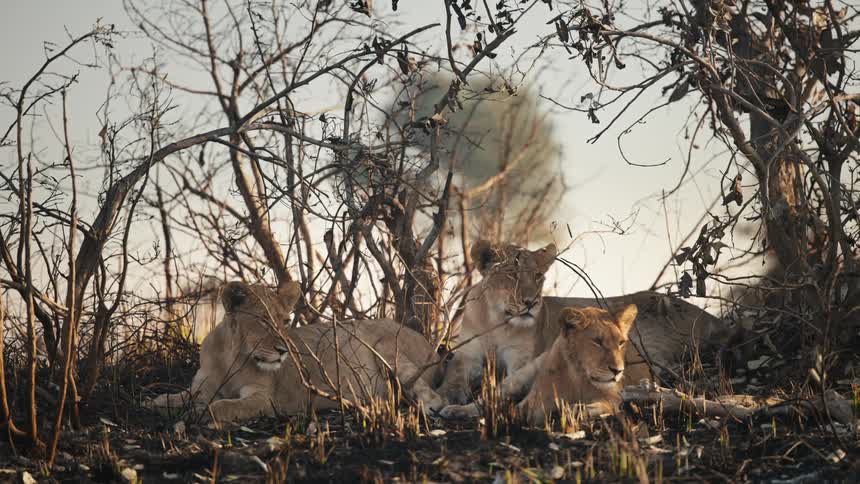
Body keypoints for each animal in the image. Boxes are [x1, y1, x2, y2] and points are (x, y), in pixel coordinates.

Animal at [147, 281, 446, 423]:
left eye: (284, 320)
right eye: (265, 320)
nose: (282, 351)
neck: (232, 356)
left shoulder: (263, 400)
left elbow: (223, 406)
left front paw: (197, 413)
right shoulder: (202, 386)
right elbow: (176, 397)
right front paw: (158, 403)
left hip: (386, 347)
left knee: (432, 396)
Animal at [437, 239, 737, 406]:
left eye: (537, 276)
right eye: (511, 274)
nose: (531, 302)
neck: (496, 320)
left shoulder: (522, 359)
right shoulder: (466, 354)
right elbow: (453, 375)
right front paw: (444, 396)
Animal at [442, 304, 638, 422]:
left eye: (621, 343)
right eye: (597, 342)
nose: (617, 370)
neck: (578, 376)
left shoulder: (615, 398)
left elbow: (601, 405)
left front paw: (575, 409)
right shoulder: (533, 404)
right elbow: (519, 409)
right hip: (523, 375)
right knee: (489, 399)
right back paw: (455, 410)